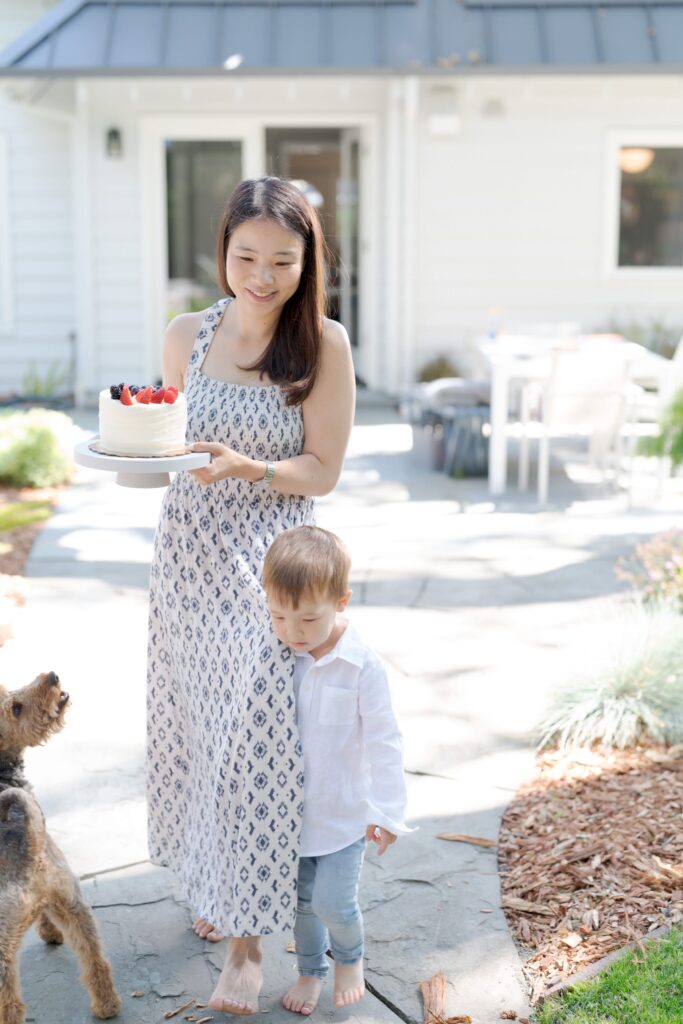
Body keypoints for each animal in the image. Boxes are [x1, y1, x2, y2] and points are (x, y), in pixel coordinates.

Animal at [0, 671, 121, 1024]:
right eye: (15, 708)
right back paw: (107, 1006)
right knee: (95, 959)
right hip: (73, 899)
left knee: (10, 1004)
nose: (51, 676)